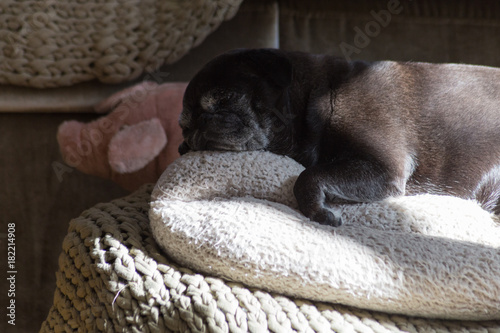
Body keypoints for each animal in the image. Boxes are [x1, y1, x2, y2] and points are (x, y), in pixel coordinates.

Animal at [178, 48, 500, 226]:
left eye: (225, 99)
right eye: (184, 126)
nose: (199, 125)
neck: (319, 95)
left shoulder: (383, 169)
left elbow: (307, 176)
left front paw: (318, 212)